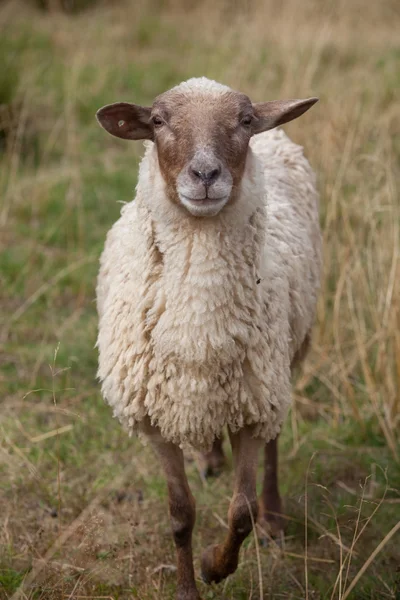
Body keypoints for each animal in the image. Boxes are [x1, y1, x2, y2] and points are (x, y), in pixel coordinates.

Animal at [95, 77, 320, 596]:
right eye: (158, 122)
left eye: (244, 121)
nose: (204, 174)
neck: (200, 336)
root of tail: (277, 135)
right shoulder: (154, 421)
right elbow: (180, 514)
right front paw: (187, 586)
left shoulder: (253, 410)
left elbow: (240, 513)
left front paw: (214, 566)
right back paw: (210, 458)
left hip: (281, 367)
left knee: (274, 446)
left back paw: (274, 519)